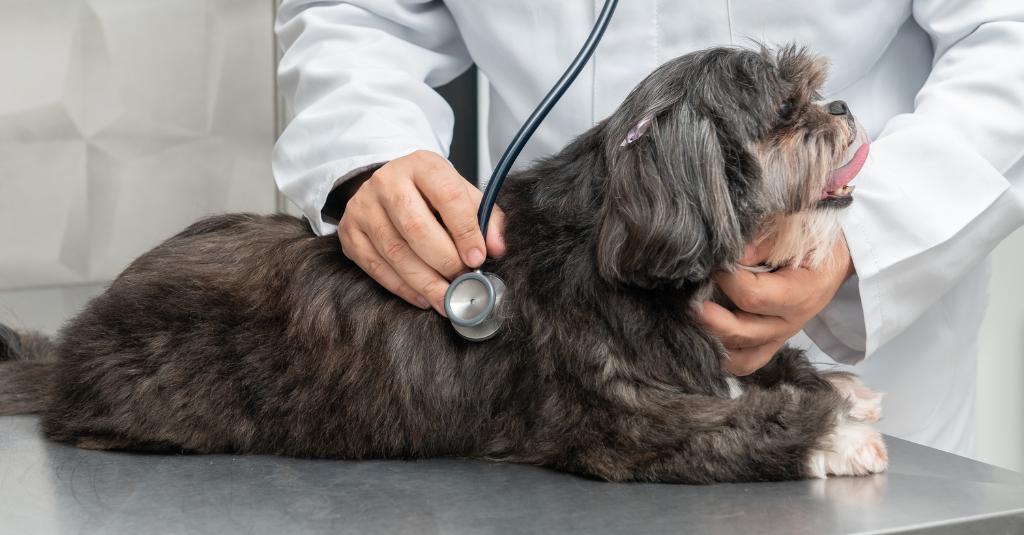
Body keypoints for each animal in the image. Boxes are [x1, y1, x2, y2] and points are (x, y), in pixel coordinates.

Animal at [0, 44, 884, 479]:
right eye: (786, 112)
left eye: (815, 92)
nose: (842, 106)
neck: (617, 242)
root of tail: (74, 345)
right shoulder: (618, 422)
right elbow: (738, 425)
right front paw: (834, 437)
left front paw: (833, 385)